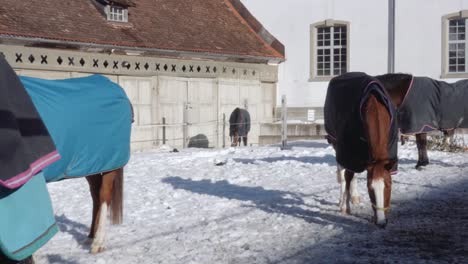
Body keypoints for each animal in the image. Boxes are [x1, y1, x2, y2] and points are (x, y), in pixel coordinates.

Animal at [0, 54, 132, 262]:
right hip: (90, 164)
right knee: (95, 195)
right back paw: (90, 236)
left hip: (110, 163)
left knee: (104, 197)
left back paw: (98, 242)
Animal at [326, 72, 398, 227]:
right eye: (370, 188)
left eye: (388, 186)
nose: (381, 222)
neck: (373, 106)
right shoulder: (348, 151)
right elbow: (347, 176)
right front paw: (345, 207)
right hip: (337, 145)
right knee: (343, 174)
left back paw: (354, 197)